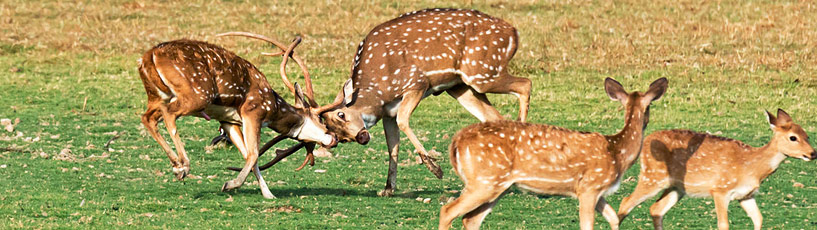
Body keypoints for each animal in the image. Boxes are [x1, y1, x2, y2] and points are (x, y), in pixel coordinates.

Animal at [139, 36, 336, 199]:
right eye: (321, 121)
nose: (333, 139)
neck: (273, 108)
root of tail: (148, 57)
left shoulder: (228, 120)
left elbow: (247, 154)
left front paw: (268, 194)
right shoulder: (253, 112)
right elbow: (254, 153)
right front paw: (229, 184)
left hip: (156, 96)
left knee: (147, 117)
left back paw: (176, 164)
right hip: (198, 95)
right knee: (169, 113)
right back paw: (182, 166)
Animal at [444, 77, 668, 230]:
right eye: (650, 105)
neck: (617, 152)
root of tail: (456, 142)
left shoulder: (597, 192)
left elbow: (614, 217)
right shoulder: (589, 187)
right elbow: (588, 225)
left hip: (496, 185)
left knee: (469, 219)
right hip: (484, 180)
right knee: (448, 211)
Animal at [616, 108, 812, 229]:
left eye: (807, 135)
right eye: (793, 137)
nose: (813, 153)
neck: (752, 167)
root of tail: (645, 142)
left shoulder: (746, 195)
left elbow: (759, 218)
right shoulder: (720, 189)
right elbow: (723, 224)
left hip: (676, 187)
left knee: (656, 209)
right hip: (652, 176)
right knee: (625, 202)